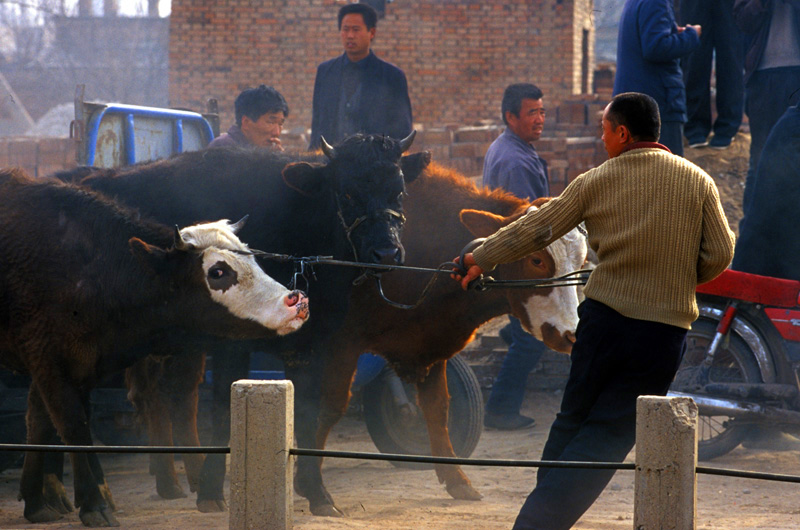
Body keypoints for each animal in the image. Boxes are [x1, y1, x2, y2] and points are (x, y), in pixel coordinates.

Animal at [0, 168, 310, 524]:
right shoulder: (49, 360)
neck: (87, 269)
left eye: (253, 259)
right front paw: (93, 503)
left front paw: (37, 501)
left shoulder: (73, 364)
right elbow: (72, 425)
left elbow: (40, 424)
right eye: (218, 271)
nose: (296, 300)